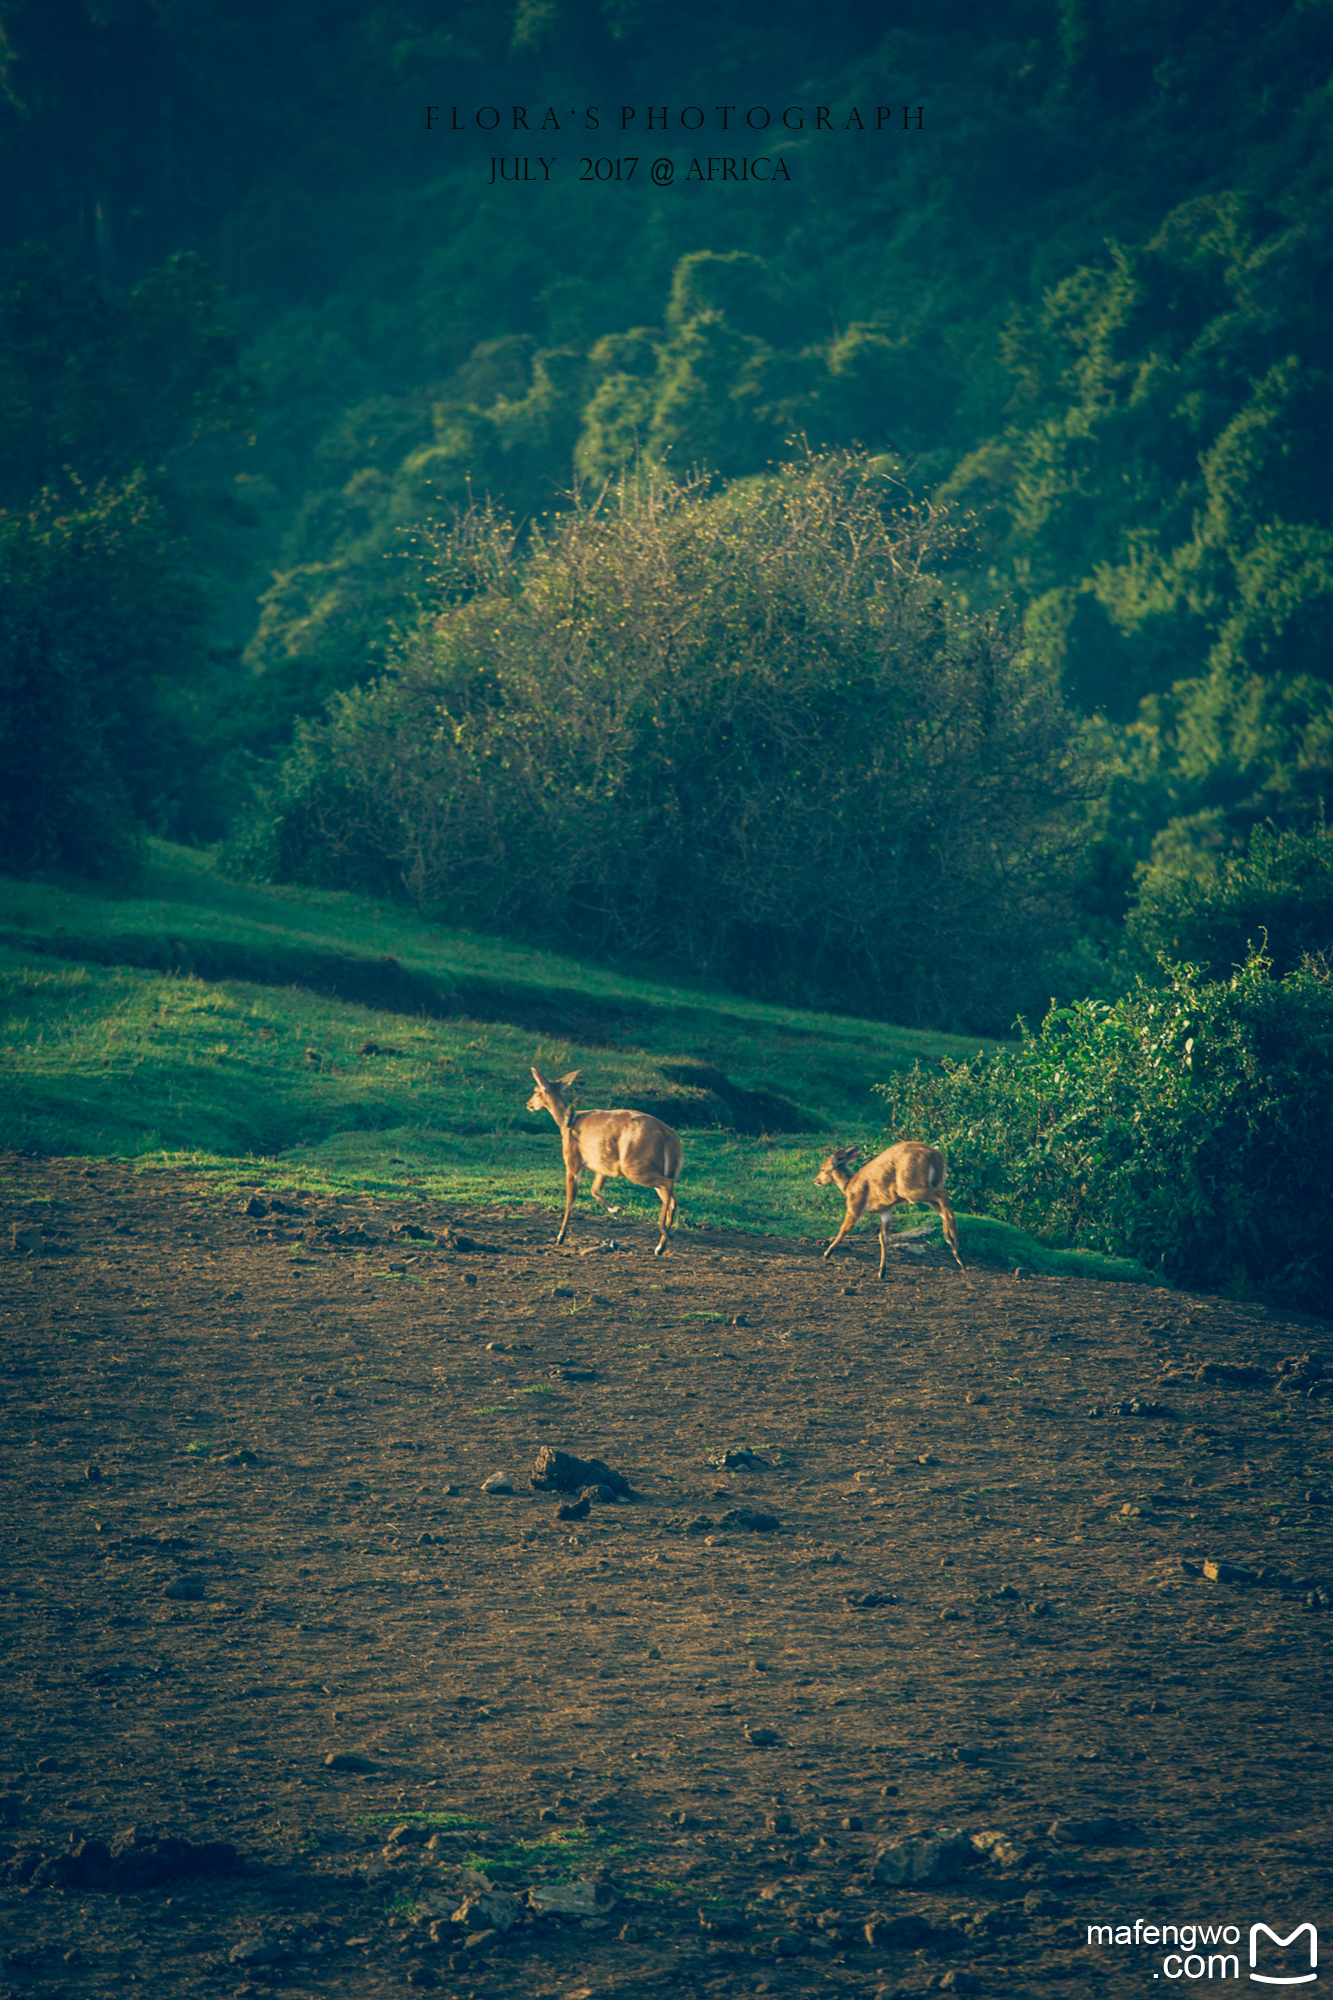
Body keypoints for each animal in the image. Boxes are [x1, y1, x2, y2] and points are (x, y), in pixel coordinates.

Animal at [524, 1064, 680, 1248]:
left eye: (535, 1090)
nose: (528, 1104)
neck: (567, 1123)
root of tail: (671, 1139)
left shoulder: (573, 1162)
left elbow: (570, 1202)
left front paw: (560, 1236)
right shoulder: (603, 1166)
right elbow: (595, 1190)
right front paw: (616, 1209)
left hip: (635, 1167)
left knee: (668, 1186)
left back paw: (663, 1232)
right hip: (655, 1168)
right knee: (671, 1199)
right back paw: (660, 1246)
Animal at [816, 1144, 960, 1280]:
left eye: (822, 1168)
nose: (816, 1180)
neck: (848, 1186)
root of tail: (936, 1156)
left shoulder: (855, 1206)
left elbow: (844, 1229)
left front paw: (826, 1253)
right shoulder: (886, 1210)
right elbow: (883, 1237)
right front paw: (882, 1272)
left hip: (910, 1188)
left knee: (944, 1195)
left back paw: (953, 1245)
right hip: (927, 1187)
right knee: (946, 1208)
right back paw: (956, 1252)